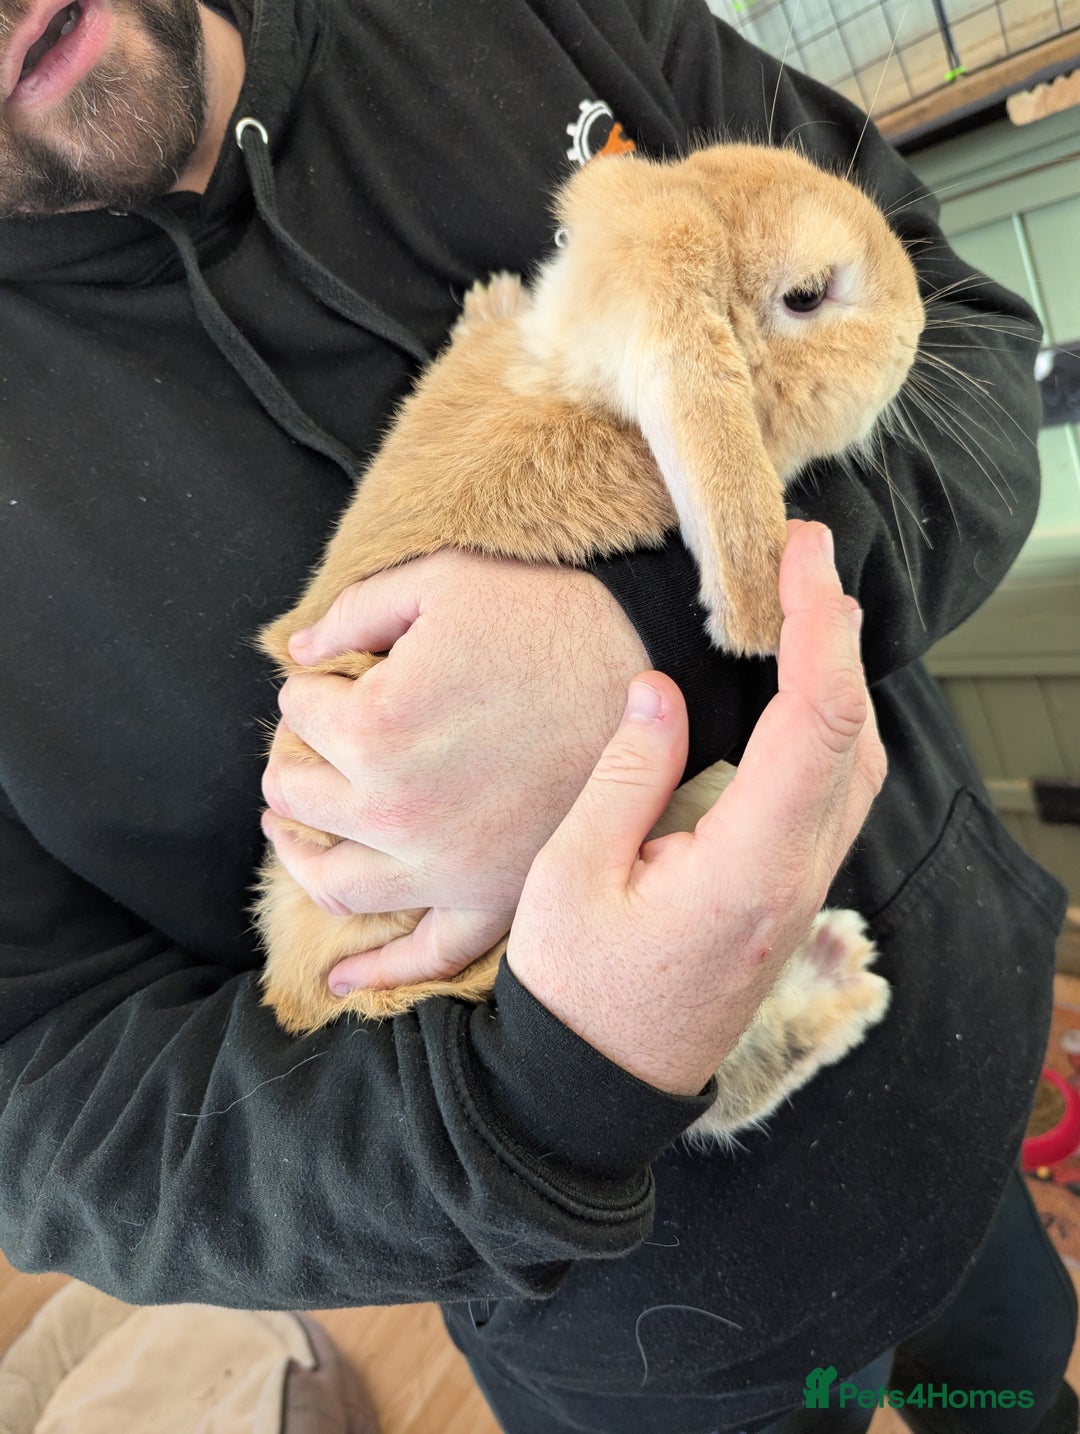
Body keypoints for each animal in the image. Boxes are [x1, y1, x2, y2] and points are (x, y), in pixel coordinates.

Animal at [255, 143, 923, 1141]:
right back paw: (850, 976)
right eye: (807, 295)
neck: (566, 388)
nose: (917, 317)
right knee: (723, 1088)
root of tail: (302, 995)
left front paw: (487, 300)